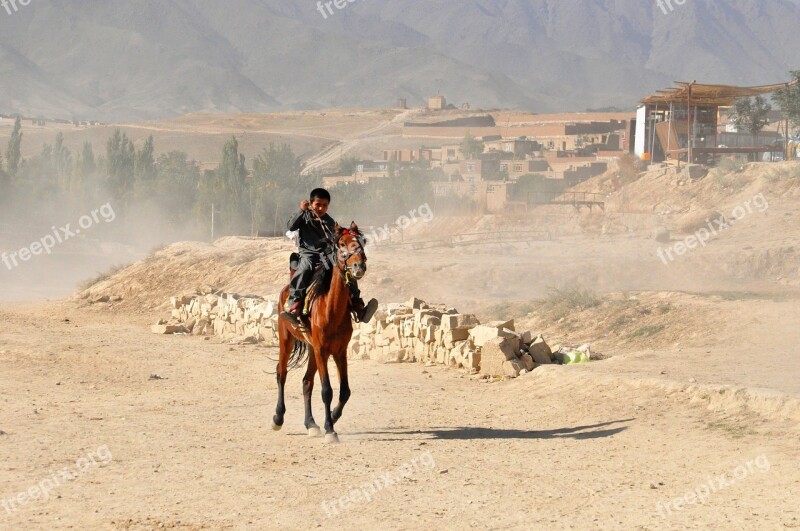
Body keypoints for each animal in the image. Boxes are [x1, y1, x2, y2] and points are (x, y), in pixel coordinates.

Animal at [270, 221, 368, 444]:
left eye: (360, 241)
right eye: (342, 244)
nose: (359, 266)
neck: (330, 308)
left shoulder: (339, 351)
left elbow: (344, 391)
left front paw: (332, 416)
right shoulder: (323, 350)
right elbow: (327, 390)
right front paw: (330, 430)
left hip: (312, 348)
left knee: (307, 382)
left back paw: (311, 424)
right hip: (287, 340)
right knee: (281, 373)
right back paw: (278, 418)